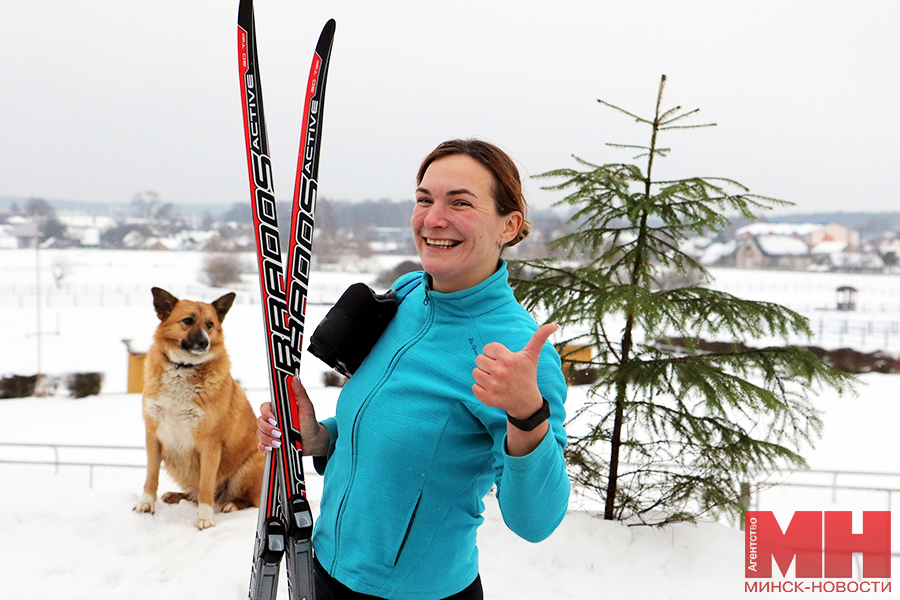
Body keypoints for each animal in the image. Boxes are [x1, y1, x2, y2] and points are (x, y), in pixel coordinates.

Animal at [134, 288, 264, 528]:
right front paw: (146, 504)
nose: (204, 343)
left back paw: (231, 504)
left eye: (210, 324)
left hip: (250, 466)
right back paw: (178, 496)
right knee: (196, 493)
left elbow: (206, 485)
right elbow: (151, 476)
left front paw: (204, 518)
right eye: (188, 321)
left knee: (248, 500)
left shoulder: (210, 444)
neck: (182, 368)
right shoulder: (153, 436)